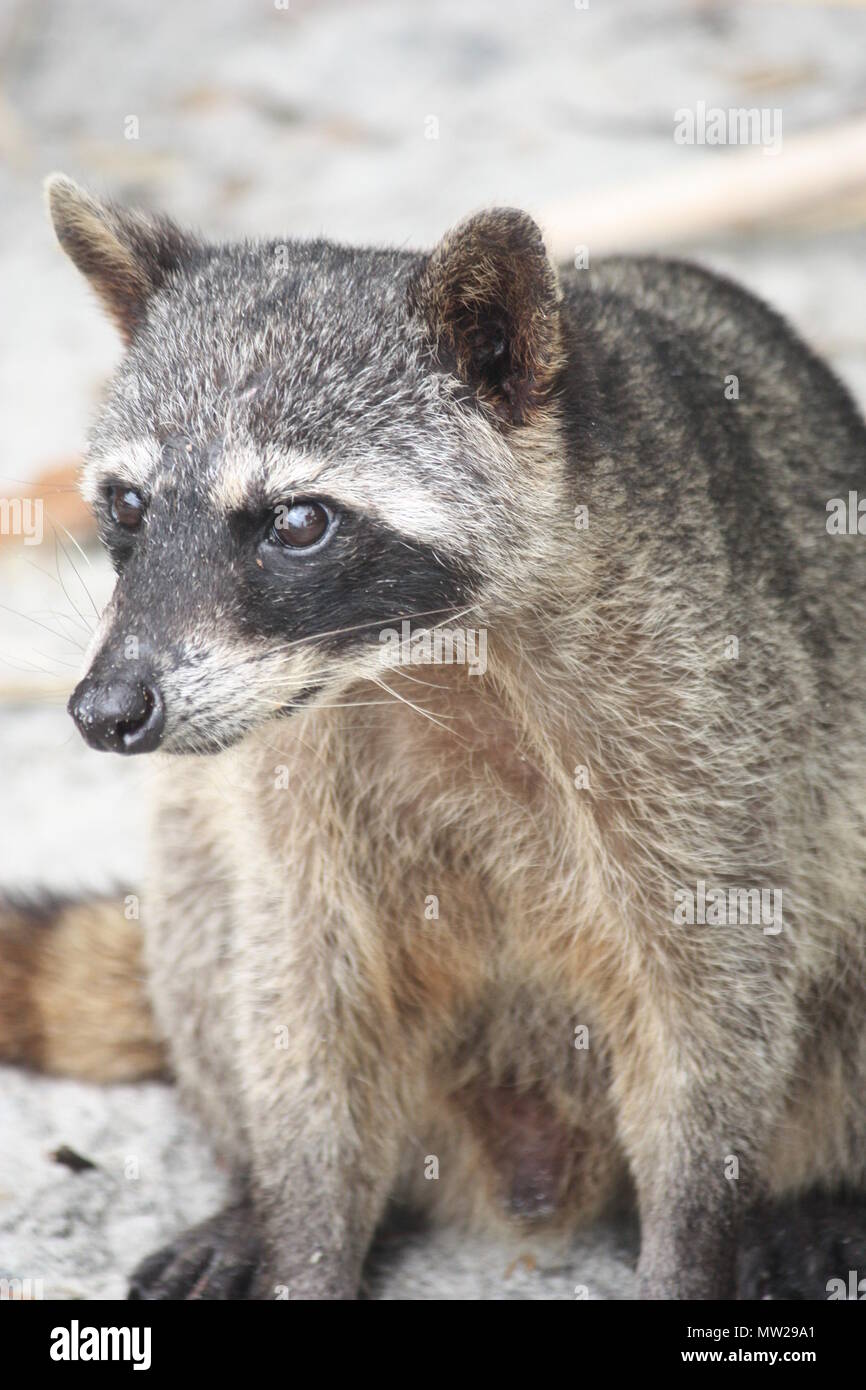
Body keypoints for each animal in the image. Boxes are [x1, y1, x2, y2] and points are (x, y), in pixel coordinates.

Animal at [3, 173, 866, 1299]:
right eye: (129, 505)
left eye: (296, 522)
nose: (105, 711)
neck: (417, 658)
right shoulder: (293, 773)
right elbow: (301, 998)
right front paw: (302, 1230)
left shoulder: (703, 716)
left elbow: (713, 999)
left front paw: (691, 1240)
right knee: (203, 908)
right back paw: (250, 1188)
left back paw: (821, 1186)